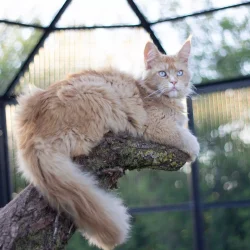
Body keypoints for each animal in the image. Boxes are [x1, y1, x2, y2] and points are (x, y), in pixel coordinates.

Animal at [15, 36, 199, 249]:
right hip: (99, 93)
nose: (174, 82)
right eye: (162, 73)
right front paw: (194, 149)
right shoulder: (155, 124)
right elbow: (186, 137)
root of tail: (32, 134)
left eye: (180, 72)